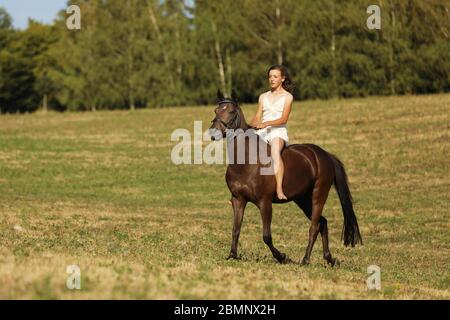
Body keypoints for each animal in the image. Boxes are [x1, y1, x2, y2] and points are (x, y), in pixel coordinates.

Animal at [210, 89, 362, 264]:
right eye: (216, 110)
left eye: (231, 111)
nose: (213, 133)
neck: (246, 162)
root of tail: (325, 155)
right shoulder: (238, 199)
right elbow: (236, 228)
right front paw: (232, 255)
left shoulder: (265, 202)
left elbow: (266, 236)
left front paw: (281, 256)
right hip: (302, 199)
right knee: (322, 222)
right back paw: (329, 259)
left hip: (318, 195)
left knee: (314, 226)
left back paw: (305, 260)